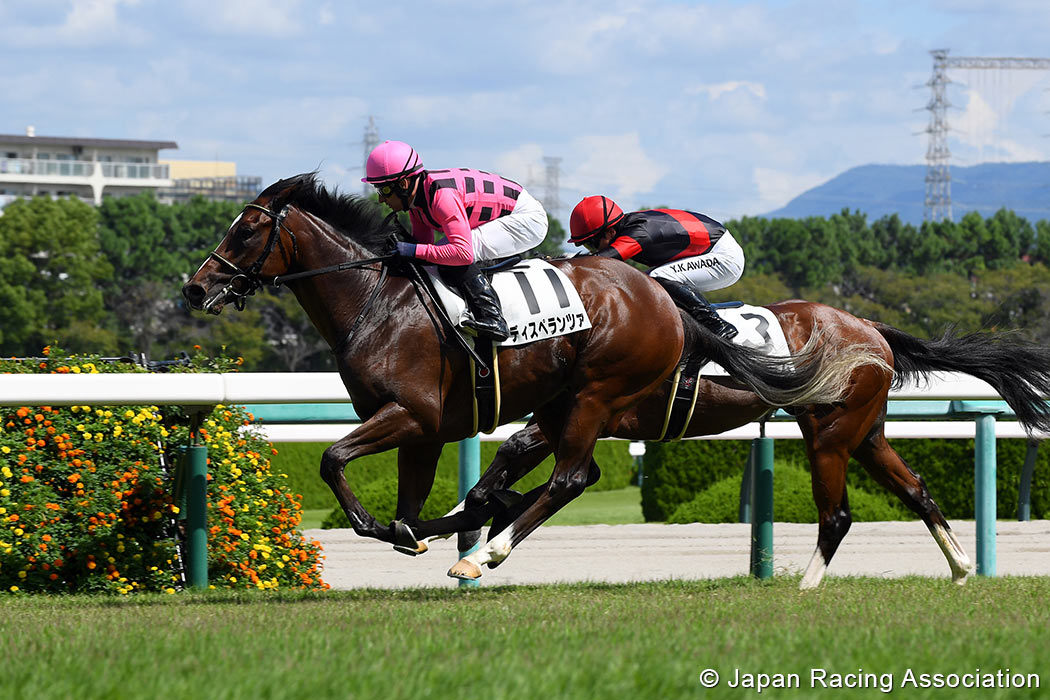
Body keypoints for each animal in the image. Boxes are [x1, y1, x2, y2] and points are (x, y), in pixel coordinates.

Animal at [182, 173, 879, 571]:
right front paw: (415, 528)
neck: (376, 302)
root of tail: (664, 303)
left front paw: (385, 525)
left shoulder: (410, 413)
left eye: (246, 230)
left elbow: (332, 460)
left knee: (571, 477)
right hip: (565, 403)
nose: (195, 288)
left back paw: (488, 550)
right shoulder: (424, 426)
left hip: (597, 394)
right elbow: (411, 501)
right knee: (565, 471)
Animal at [441, 304, 1050, 587]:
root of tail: (870, 327)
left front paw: (481, 541)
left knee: (837, 514)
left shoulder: (589, 411)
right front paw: (468, 519)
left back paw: (805, 584)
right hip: (868, 434)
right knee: (917, 489)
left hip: (829, 432)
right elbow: (514, 455)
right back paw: (961, 567)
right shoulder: (569, 416)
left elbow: (549, 464)